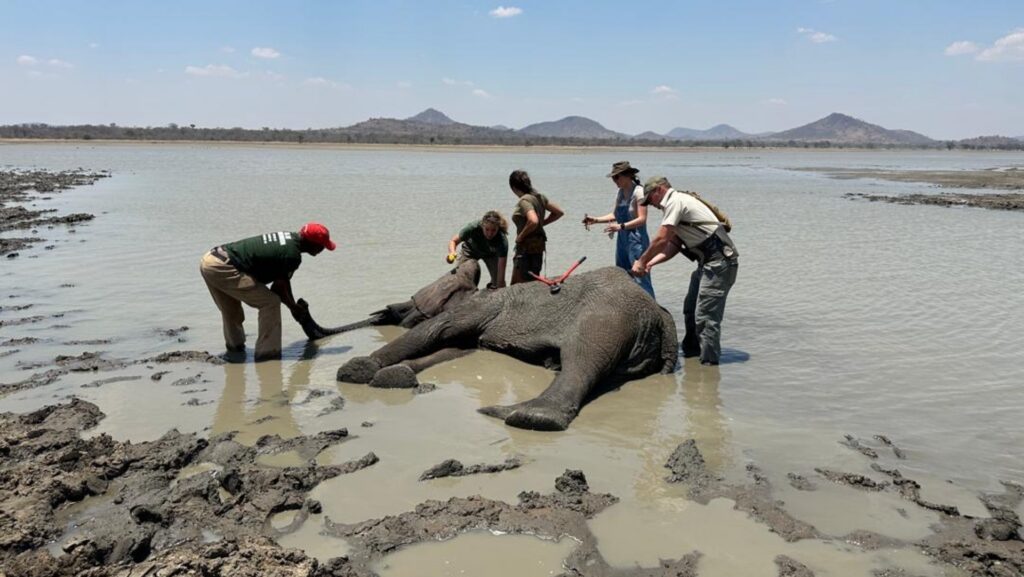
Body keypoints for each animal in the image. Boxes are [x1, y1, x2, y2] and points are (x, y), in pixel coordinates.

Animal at [336, 266, 679, 431]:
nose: (389, 313)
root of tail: (659, 314)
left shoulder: (478, 308)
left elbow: (432, 331)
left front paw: (358, 370)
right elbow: (456, 349)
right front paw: (398, 374)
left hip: (607, 317)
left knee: (582, 360)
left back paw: (524, 417)